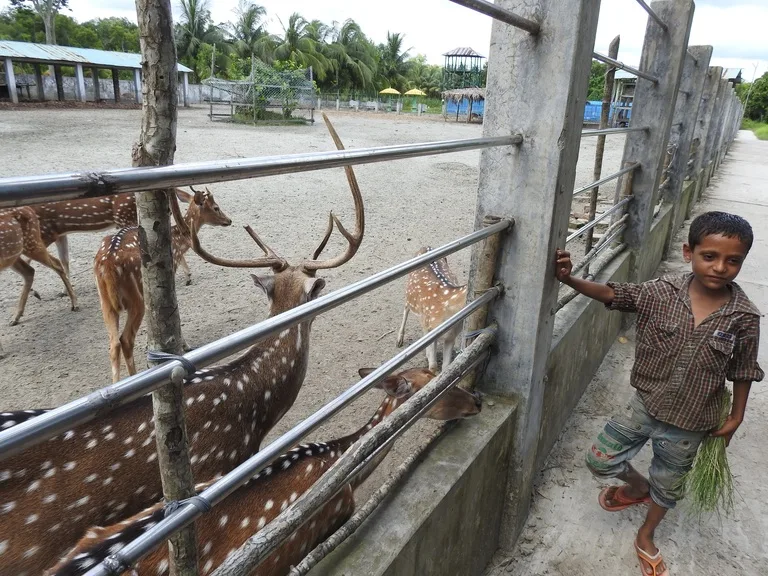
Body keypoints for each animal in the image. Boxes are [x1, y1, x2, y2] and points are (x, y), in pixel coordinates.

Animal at [0, 207, 78, 354]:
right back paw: (16, 317)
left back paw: (74, 303)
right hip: (15, 253)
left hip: (31, 242)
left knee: (56, 263)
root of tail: (29, 209)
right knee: (30, 271)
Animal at [94, 188, 233, 383]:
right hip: (136, 298)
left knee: (113, 344)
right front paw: (186, 345)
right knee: (125, 340)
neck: (177, 241)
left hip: (105, 302)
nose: (229, 220)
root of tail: (108, 265)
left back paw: (117, 383)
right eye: (216, 207)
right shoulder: (170, 272)